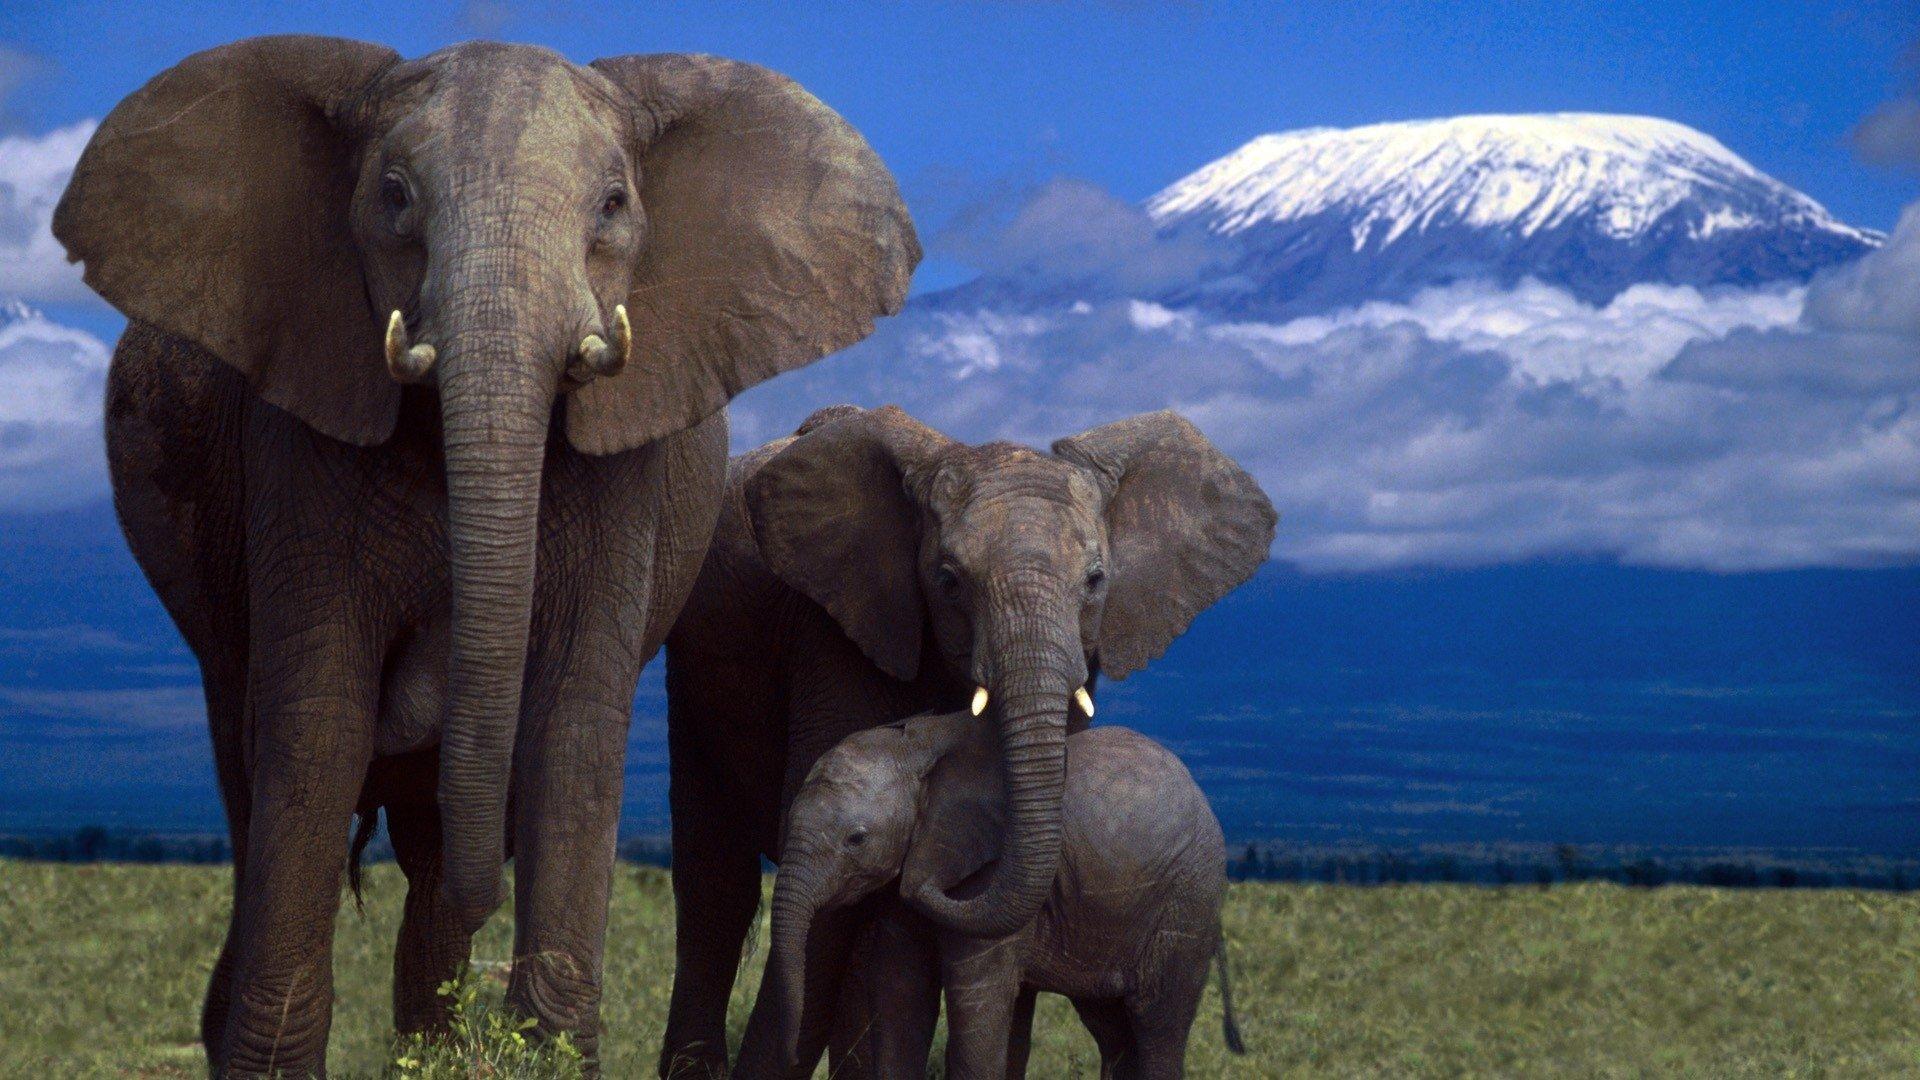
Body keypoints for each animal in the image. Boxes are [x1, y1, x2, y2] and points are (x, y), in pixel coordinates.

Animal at [52, 36, 916, 1076]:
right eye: (393, 195)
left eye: (613, 204)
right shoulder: (300, 435)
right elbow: (318, 717)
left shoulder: (625, 471)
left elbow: (573, 724)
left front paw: (541, 1048)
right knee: (250, 767)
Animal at [735, 710, 1245, 1079]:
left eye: (856, 839)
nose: (790, 1054)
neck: (914, 747)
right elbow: (900, 993)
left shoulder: (986, 868)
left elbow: (976, 999)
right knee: (1113, 1030)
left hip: (1188, 899)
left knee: (1158, 1023)